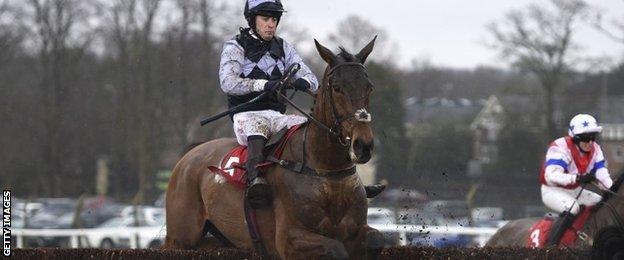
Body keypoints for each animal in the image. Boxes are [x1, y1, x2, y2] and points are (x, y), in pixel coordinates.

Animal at [163, 37, 382, 260]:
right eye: (337, 88)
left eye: (369, 87)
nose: (363, 145)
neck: (325, 169)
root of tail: (190, 154)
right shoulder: (289, 239)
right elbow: (335, 249)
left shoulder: (355, 230)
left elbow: (376, 239)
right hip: (181, 238)